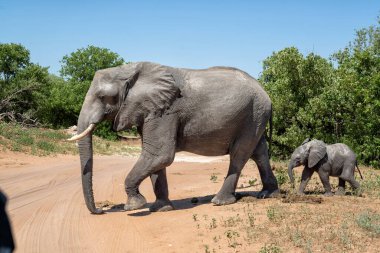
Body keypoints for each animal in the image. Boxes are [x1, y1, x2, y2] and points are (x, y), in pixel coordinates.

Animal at [68, 61, 278, 213]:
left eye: (103, 97)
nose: (101, 210)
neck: (129, 70)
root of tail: (265, 92)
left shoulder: (166, 111)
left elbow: (160, 155)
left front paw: (133, 206)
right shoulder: (150, 110)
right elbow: (154, 157)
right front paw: (161, 209)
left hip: (252, 115)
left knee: (239, 154)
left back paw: (219, 201)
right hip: (255, 117)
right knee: (259, 152)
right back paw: (268, 194)